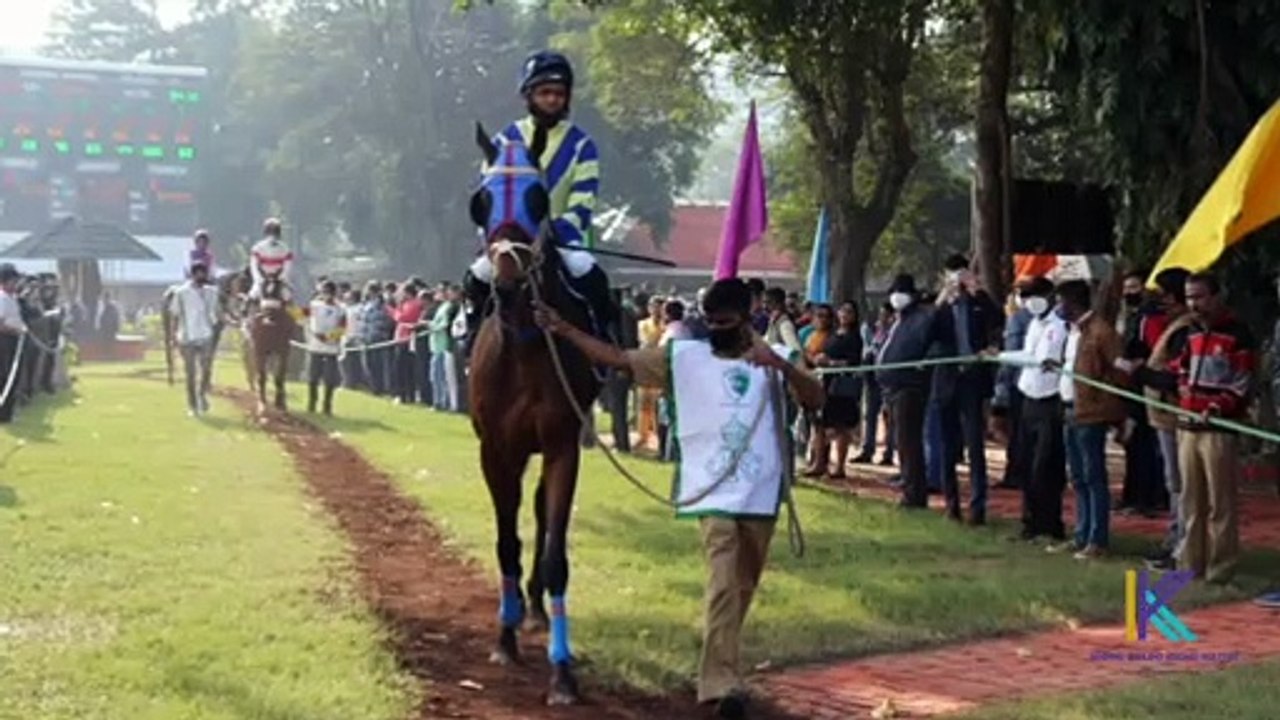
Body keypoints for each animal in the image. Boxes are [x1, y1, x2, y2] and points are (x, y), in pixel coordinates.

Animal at [246, 275, 297, 413]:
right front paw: (262, 404)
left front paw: (280, 403)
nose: (268, 317)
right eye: (263, 291)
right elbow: (261, 375)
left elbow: (280, 376)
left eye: (278, 291)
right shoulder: (259, 349)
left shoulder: (284, 350)